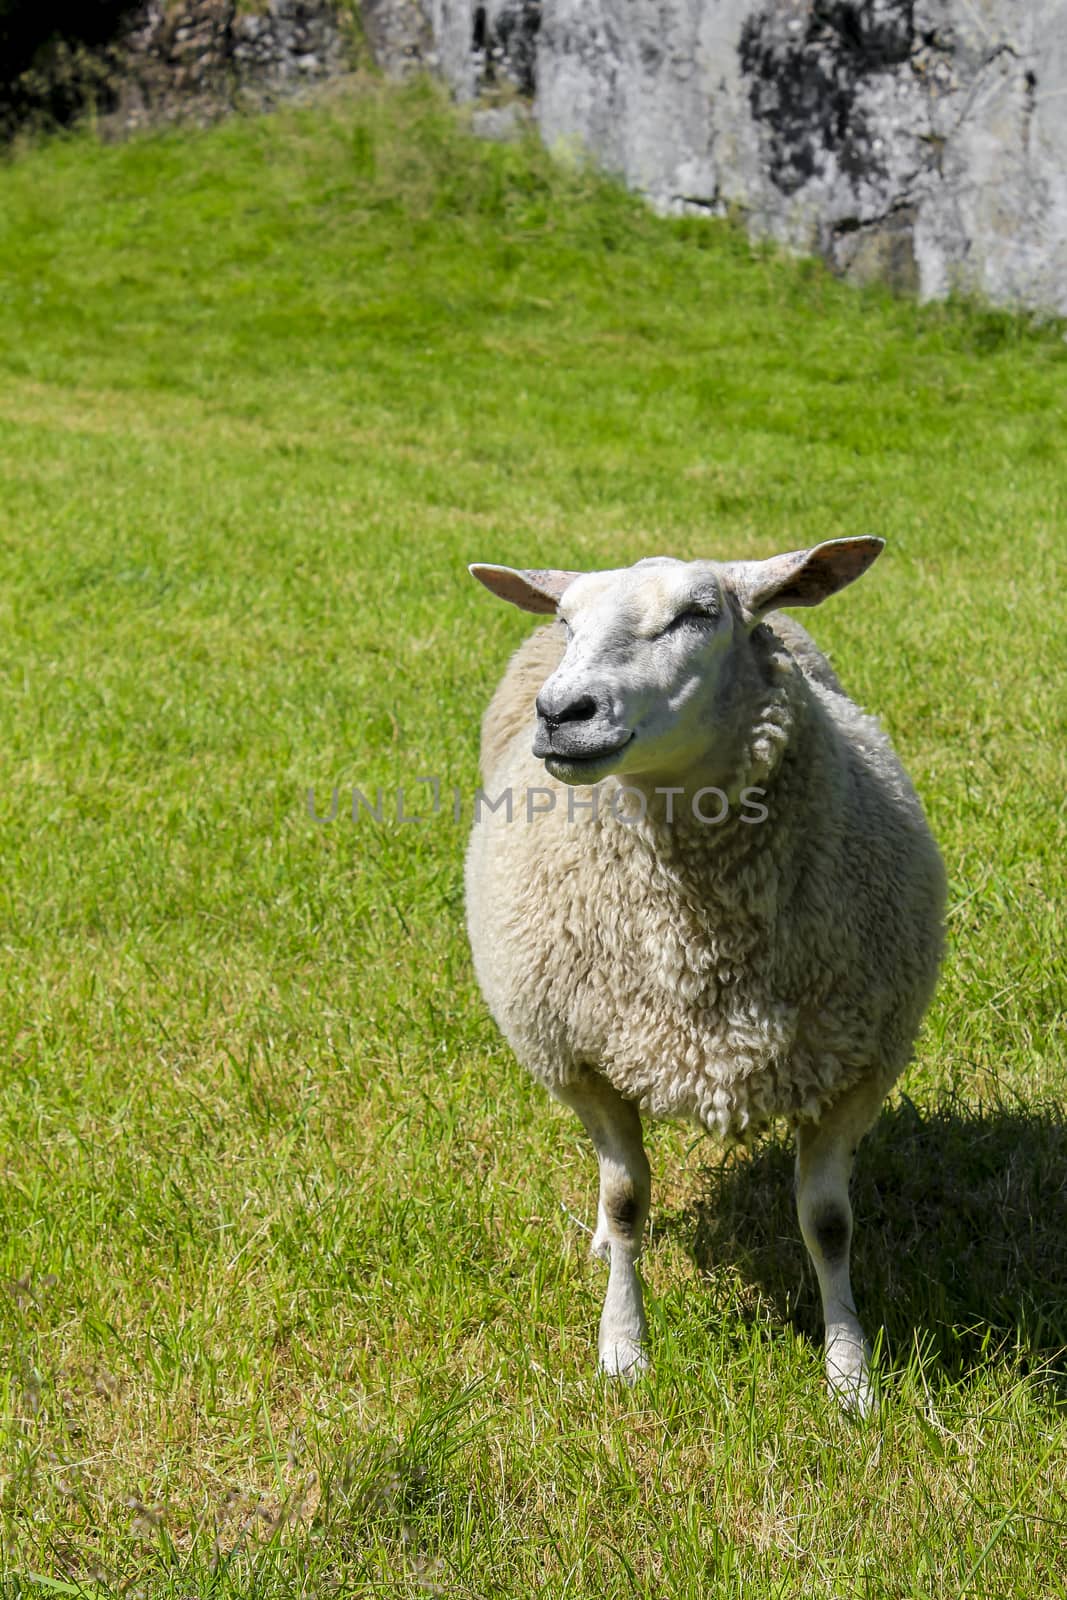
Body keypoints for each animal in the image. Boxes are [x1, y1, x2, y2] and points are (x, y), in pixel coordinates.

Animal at [463, 540, 947, 1414]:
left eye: (699, 614)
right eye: (567, 620)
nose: (563, 713)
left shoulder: (856, 1067)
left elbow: (828, 1223)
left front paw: (848, 1373)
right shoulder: (588, 1063)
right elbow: (627, 1203)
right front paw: (623, 1349)